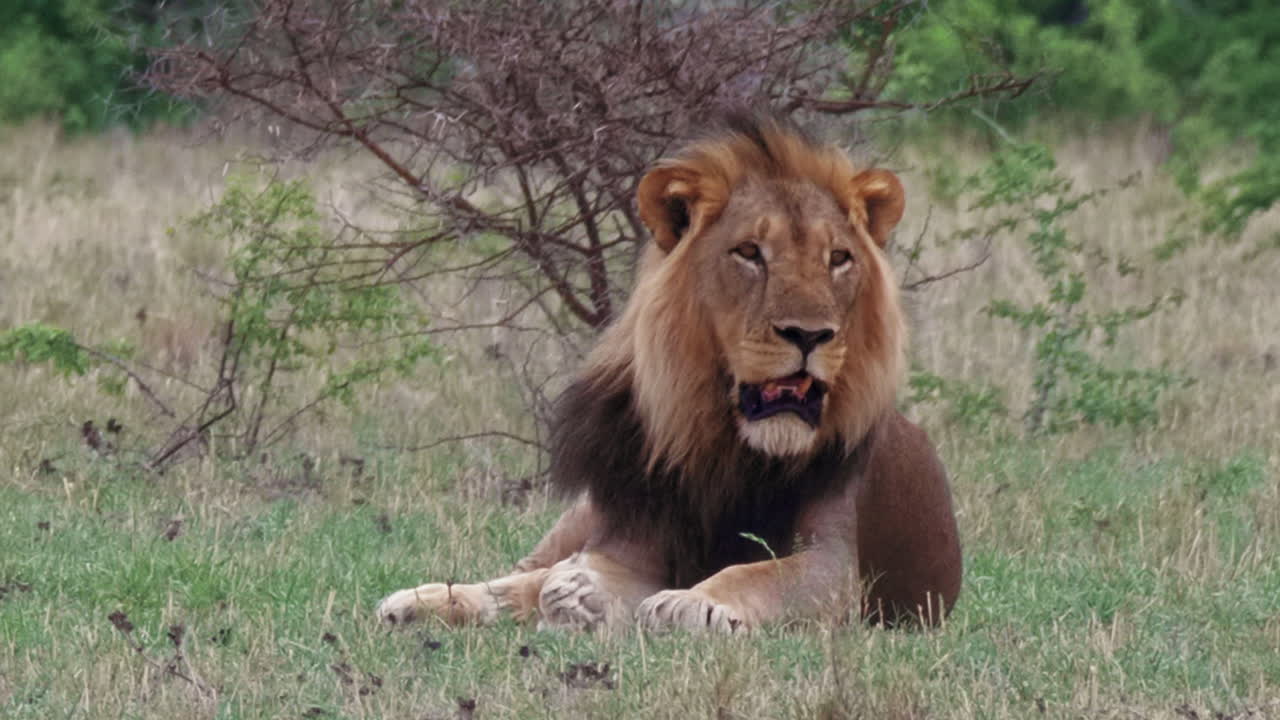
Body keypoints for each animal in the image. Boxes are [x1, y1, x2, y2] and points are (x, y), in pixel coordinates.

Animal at [377, 116, 962, 632]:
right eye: (749, 252)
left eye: (839, 258)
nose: (809, 335)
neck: (725, 446)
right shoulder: (630, 534)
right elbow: (572, 575)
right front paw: (581, 594)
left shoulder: (837, 566)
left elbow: (758, 573)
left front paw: (692, 603)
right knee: (521, 573)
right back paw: (417, 603)